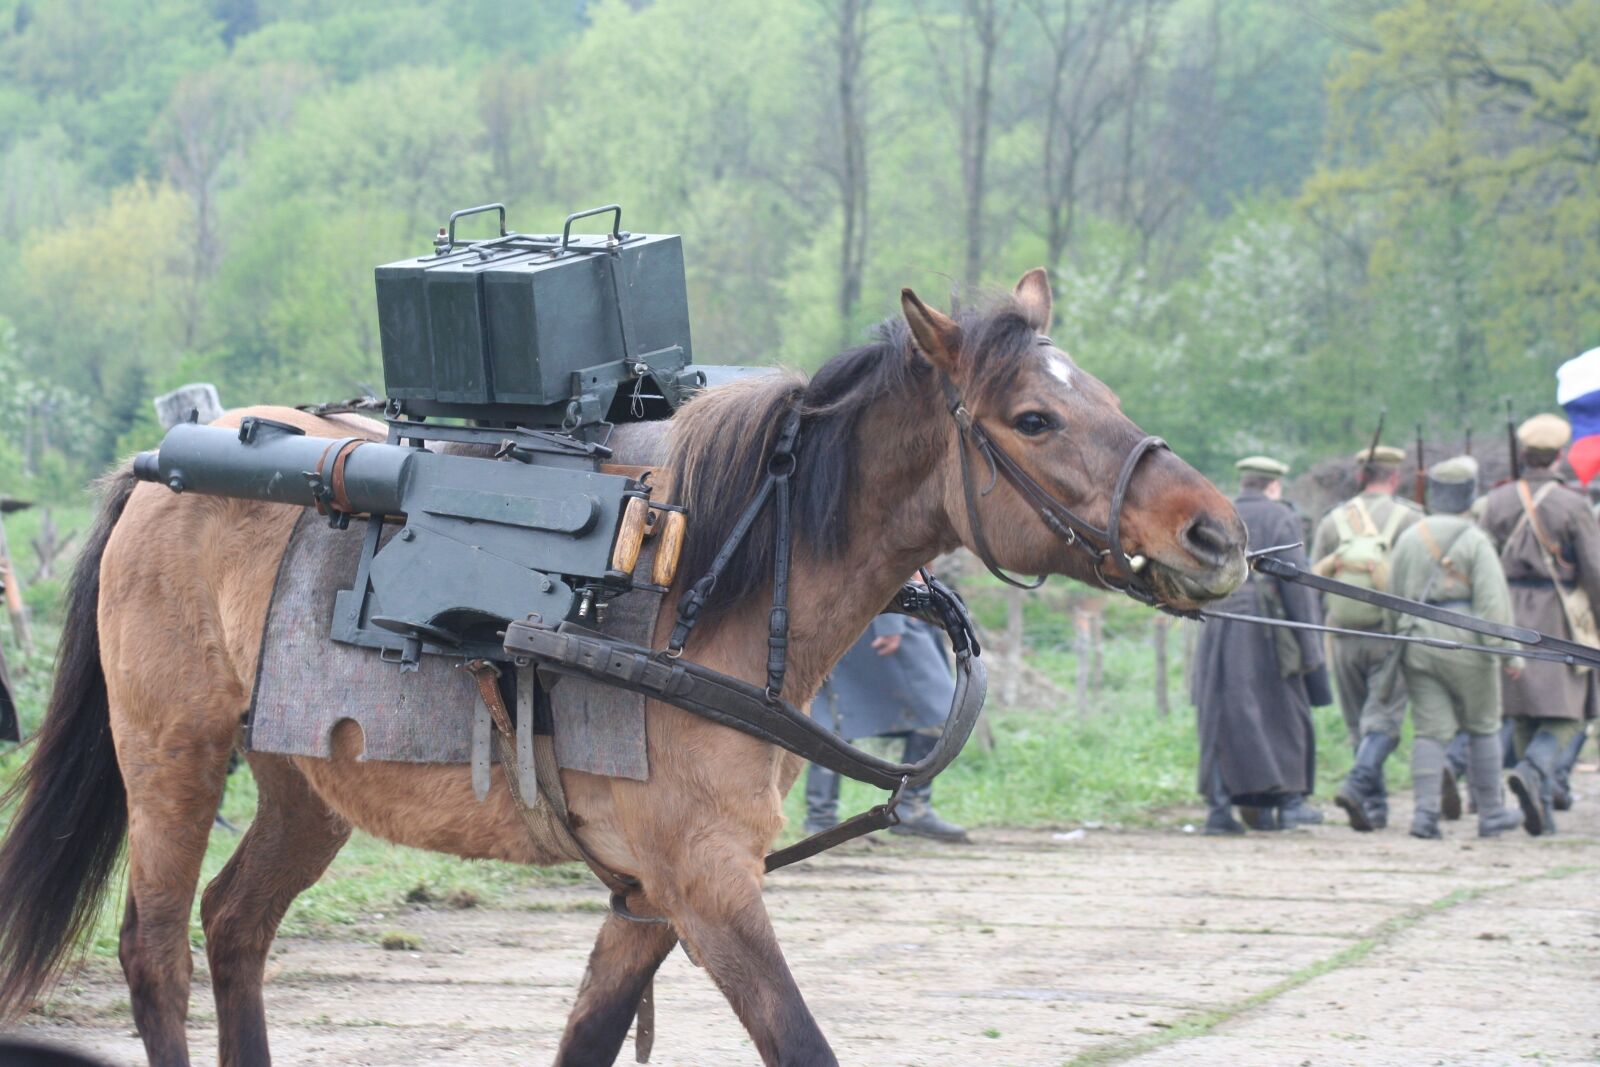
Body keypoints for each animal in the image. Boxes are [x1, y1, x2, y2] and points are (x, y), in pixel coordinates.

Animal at [0, 270, 1247, 1066]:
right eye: (1034, 416)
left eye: (1105, 397)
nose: (1215, 533)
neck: (712, 581)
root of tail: (155, 473)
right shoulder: (708, 887)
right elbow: (799, 1041)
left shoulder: (650, 896)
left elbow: (589, 1040)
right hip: (172, 759)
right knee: (157, 949)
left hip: (305, 784)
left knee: (235, 926)